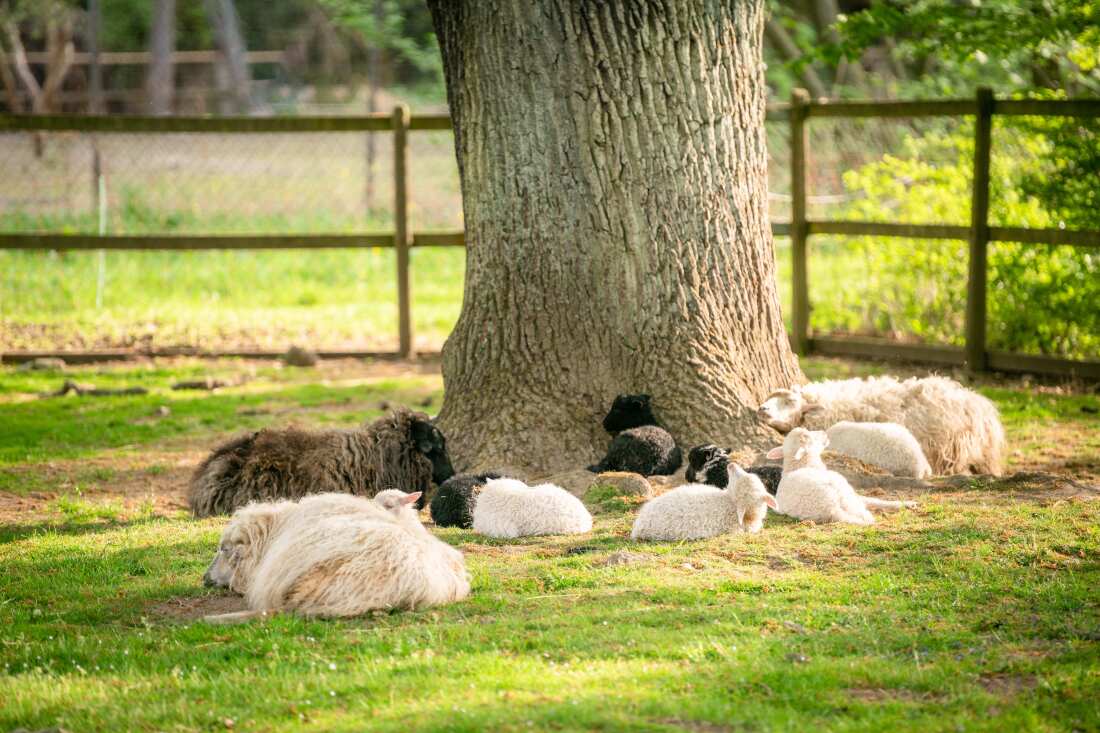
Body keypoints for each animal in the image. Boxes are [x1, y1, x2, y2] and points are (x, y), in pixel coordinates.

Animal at [765, 429, 919, 526]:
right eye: (810, 437)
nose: (824, 432)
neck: (801, 465)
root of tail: (831, 509)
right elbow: (874, 500)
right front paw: (904, 504)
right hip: (845, 492)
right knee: (865, 514)